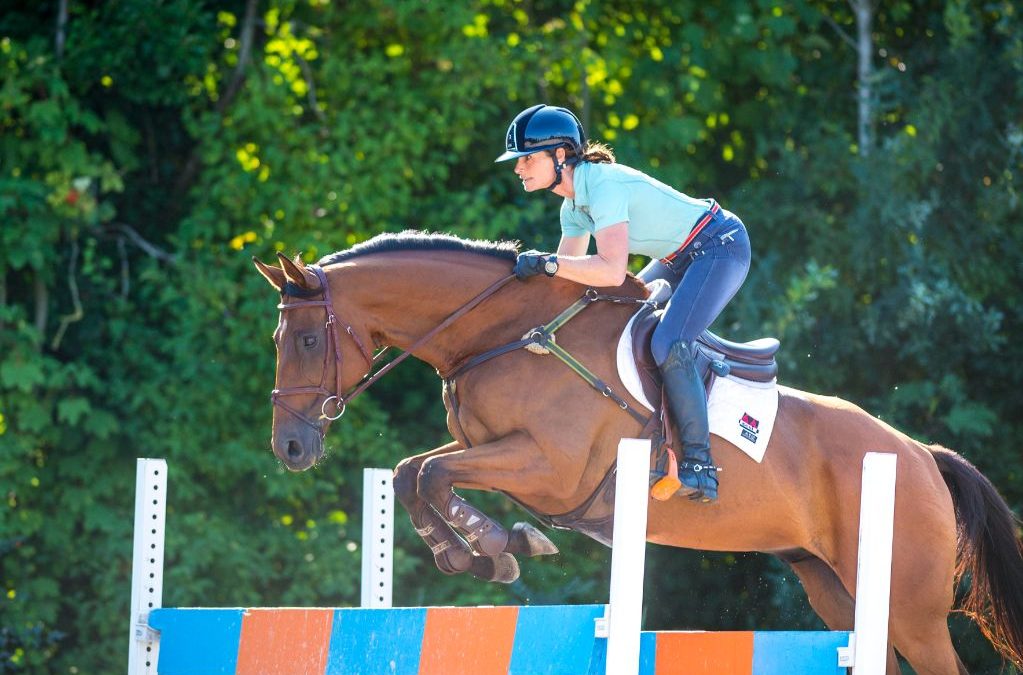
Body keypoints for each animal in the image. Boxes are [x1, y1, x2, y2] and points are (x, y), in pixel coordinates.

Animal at [252, 231, 1023, 675]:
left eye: (309, 339)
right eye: (281, 340)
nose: (290, 447)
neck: (505, 333)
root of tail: (919, 456)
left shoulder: (551, 468)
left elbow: (433, 473)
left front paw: (498, 545)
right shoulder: (488, 447)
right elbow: (415, 472)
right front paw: (479, 550)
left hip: (912, 609)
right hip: (836, 590)